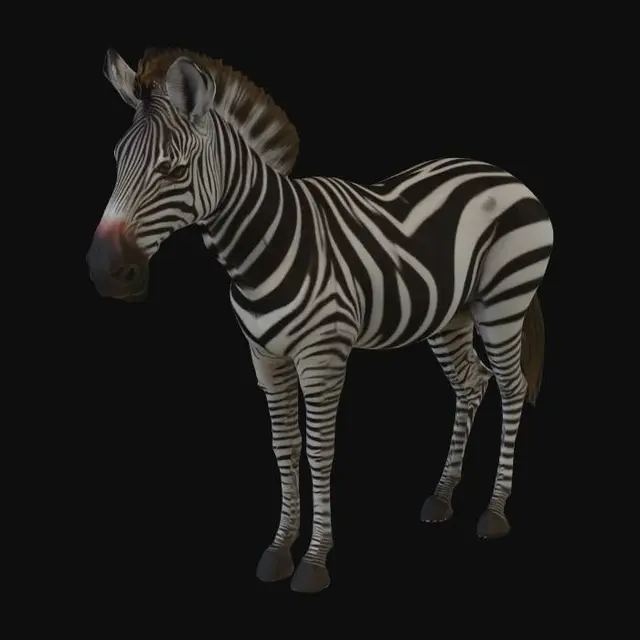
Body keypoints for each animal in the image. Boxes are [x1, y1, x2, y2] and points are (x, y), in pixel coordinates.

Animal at [87, 47, 554, 593]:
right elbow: (284, 448)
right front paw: (278, 549)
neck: (265, 245)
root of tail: (502, 173)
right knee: (472, 382)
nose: (105, 271)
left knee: (512, 386)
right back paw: (442, 496)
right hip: (449, 316)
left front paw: (313, 561)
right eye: (117, 160)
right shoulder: (266, 359)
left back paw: (495, 511)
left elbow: (319, 452)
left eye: (173, 170)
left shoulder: (323, 359)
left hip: (503, 302)